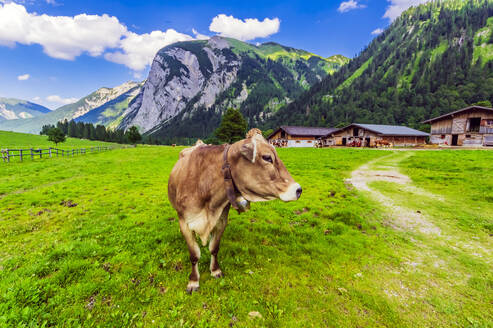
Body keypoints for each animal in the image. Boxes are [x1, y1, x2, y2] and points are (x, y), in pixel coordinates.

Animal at [168, 129, 300, 294]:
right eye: (267, 157)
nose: (298, 189)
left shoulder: (221, 220)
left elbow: (214, 248)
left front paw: (215, 270)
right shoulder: (185, 222)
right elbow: (194, 255)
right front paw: (193, 281)